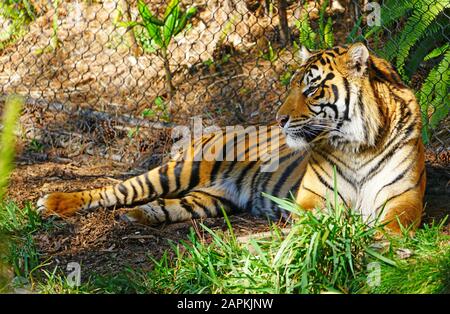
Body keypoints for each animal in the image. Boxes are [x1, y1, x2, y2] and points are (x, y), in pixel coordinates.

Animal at [36, 42, 426, 233]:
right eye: (292, 86)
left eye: (312, 88)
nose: (279, 119)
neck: (357, 146)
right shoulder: (311, 201)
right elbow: (316, 224)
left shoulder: (403, 200)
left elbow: (391, 227)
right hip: (178, 171)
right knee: (116, 190)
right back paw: (53, 202)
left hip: (210, 199)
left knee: (165, 205)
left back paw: (138, 216)